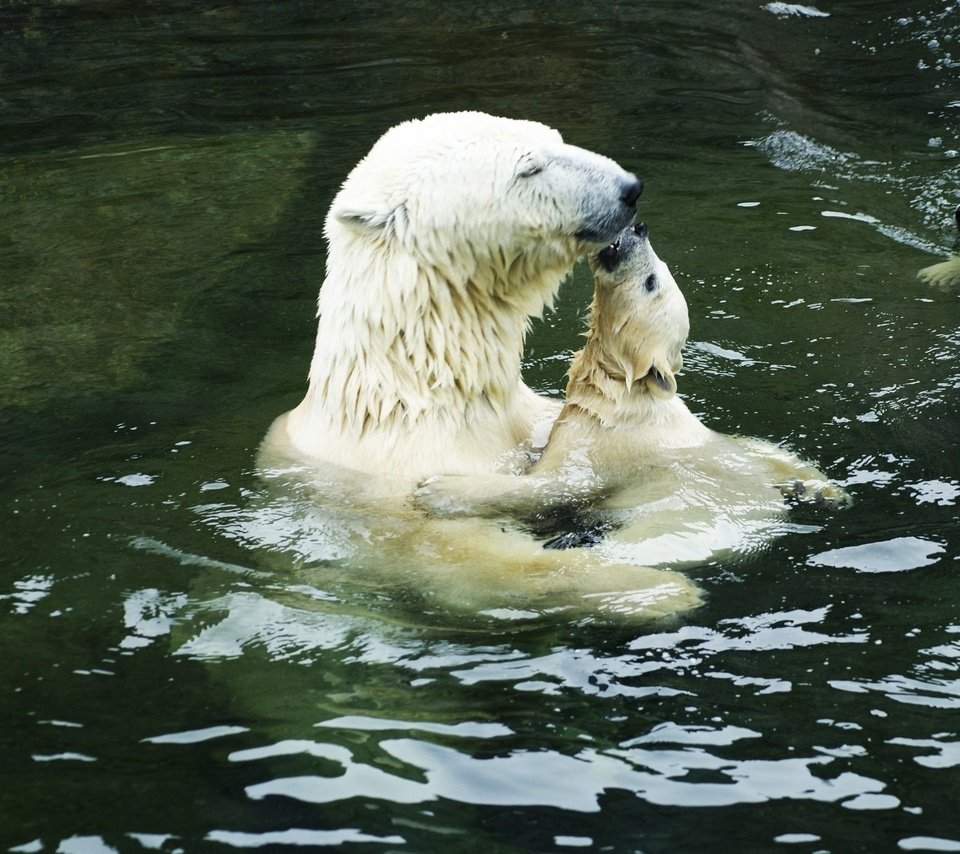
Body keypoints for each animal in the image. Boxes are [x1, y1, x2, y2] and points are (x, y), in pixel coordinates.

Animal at [418, 224, 848, 564]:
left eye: (651, 281)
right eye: (660, 272)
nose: (638, 228)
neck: (620, 393)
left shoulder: (605, 445)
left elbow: (554, 484)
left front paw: (437, 489)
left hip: (686, 521)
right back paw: (821, 491)